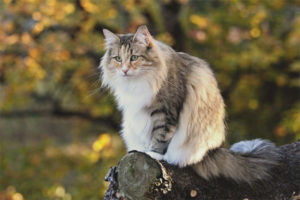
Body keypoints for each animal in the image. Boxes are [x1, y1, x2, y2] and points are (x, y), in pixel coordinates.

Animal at [99, 25, 280, 184]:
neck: (137, 84)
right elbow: (147, 136)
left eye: (134, 58)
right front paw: (142, 150)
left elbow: (160, 136)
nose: (124, 70)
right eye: (118, 59)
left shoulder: (165, 111)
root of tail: (212, 151)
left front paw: (153, 154)